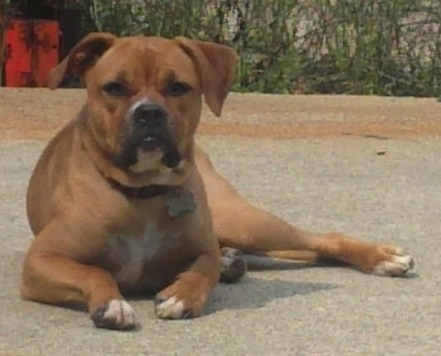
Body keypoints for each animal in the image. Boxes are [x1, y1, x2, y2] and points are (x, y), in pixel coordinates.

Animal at [20, 33, 412, 330]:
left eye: (178, 87)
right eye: (114, 88)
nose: (149, 113)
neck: (144, 194)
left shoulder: (202, 247)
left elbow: (202, 270)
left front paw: (182, 295)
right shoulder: (41, 260)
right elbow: (95, 273)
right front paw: (112, 304)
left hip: (242, 222)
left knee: (321, 239)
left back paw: (382, 258)